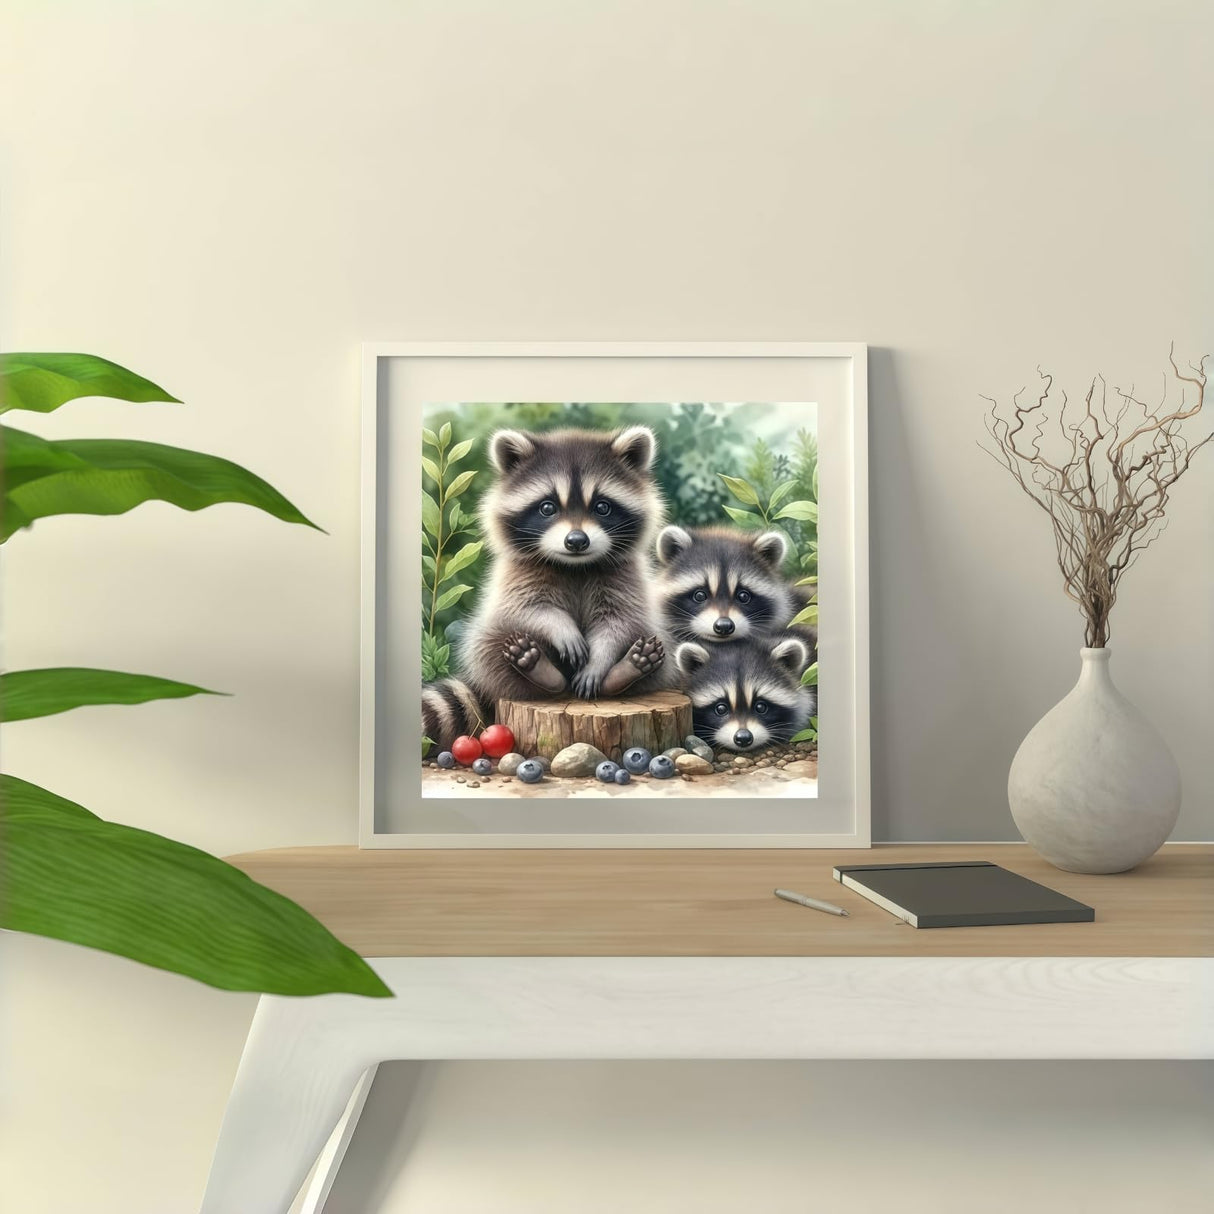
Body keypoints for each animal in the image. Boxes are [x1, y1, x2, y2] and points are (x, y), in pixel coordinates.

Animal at [422, 425, 672, 748]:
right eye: (547, 507)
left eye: (602, 507)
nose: (576, 541)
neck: (574, 565)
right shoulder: (517, 574)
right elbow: (528, 608)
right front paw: (559, 626)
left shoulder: (625, 576)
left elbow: (619, 621)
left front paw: (599, 661)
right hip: (491, 648)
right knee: (490, 644)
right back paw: (539, 670)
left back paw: (626, 670)